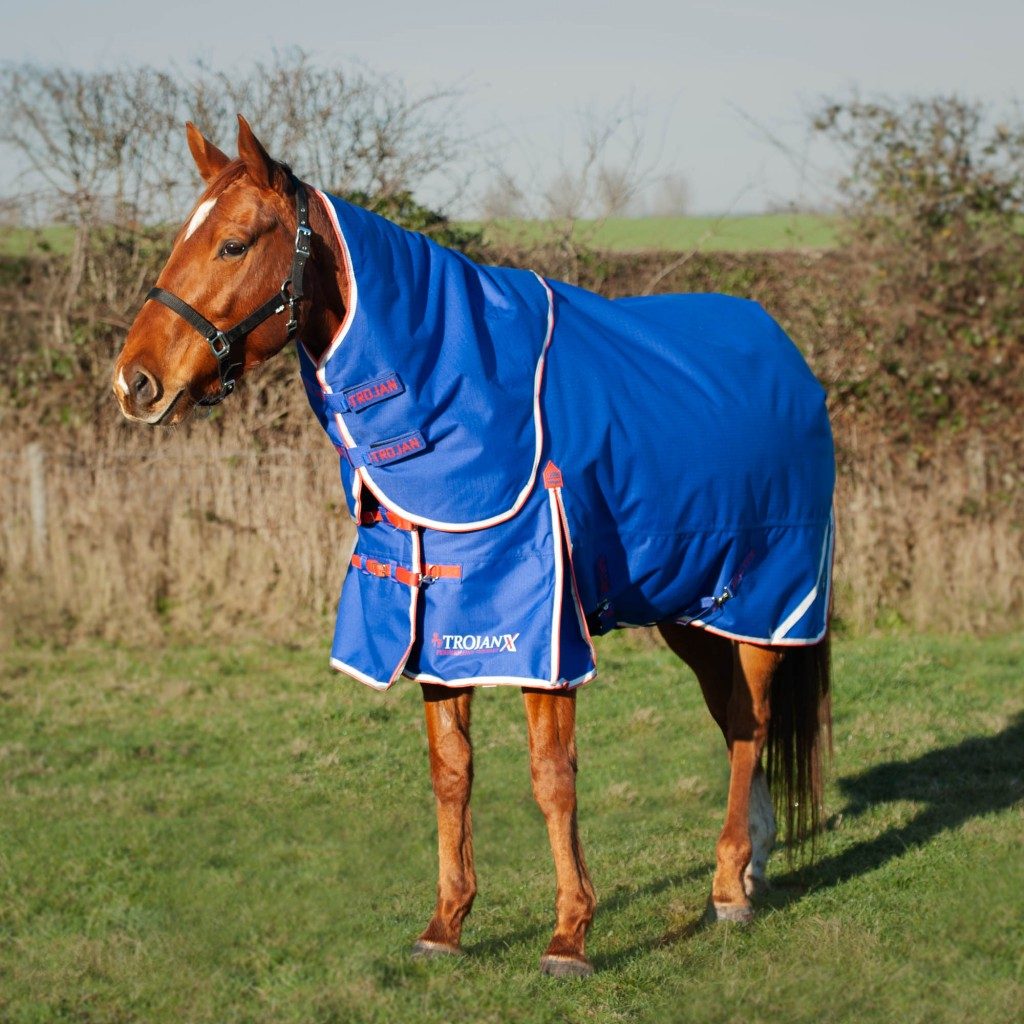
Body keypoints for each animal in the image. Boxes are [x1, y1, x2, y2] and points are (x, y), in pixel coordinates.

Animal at [112, 116, 833, 978]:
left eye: (233, 243)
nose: (134, 382)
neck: (458, 400)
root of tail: (790, 358)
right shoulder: (435, 624)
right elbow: (451, 773)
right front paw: (446, 926)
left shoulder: (540, 630)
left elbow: (552, 777)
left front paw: (569, 936)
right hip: (691, 608)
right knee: (732, 721)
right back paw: (750, 867)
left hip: (766, 598)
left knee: (752, 720)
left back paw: (728, 889)